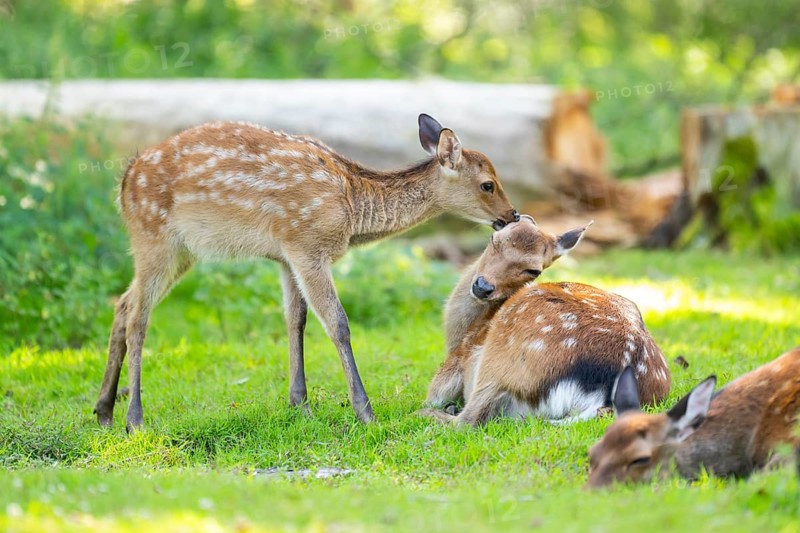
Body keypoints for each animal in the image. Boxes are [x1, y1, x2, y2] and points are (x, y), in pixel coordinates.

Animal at [93, 114, 519, 431]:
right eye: (488, 184)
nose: (512, 215)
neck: (352, 209)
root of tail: (125, 181)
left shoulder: (286, 253)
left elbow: (295, 319)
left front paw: (300, 404)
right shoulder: (307, 244)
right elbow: (337, 322)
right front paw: (365, 412)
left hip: (178, 251)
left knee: (123, 303)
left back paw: (103, 411)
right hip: (154, 236)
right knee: (138, 316)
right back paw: (135, 419)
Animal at [421, 216, 671, 425]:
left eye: (534, 270)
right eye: (494, 240)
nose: (482, 287)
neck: (463, 331)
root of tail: (603, 394)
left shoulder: (457, 358)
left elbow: (435, 393)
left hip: (502, 360)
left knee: (468, 419)